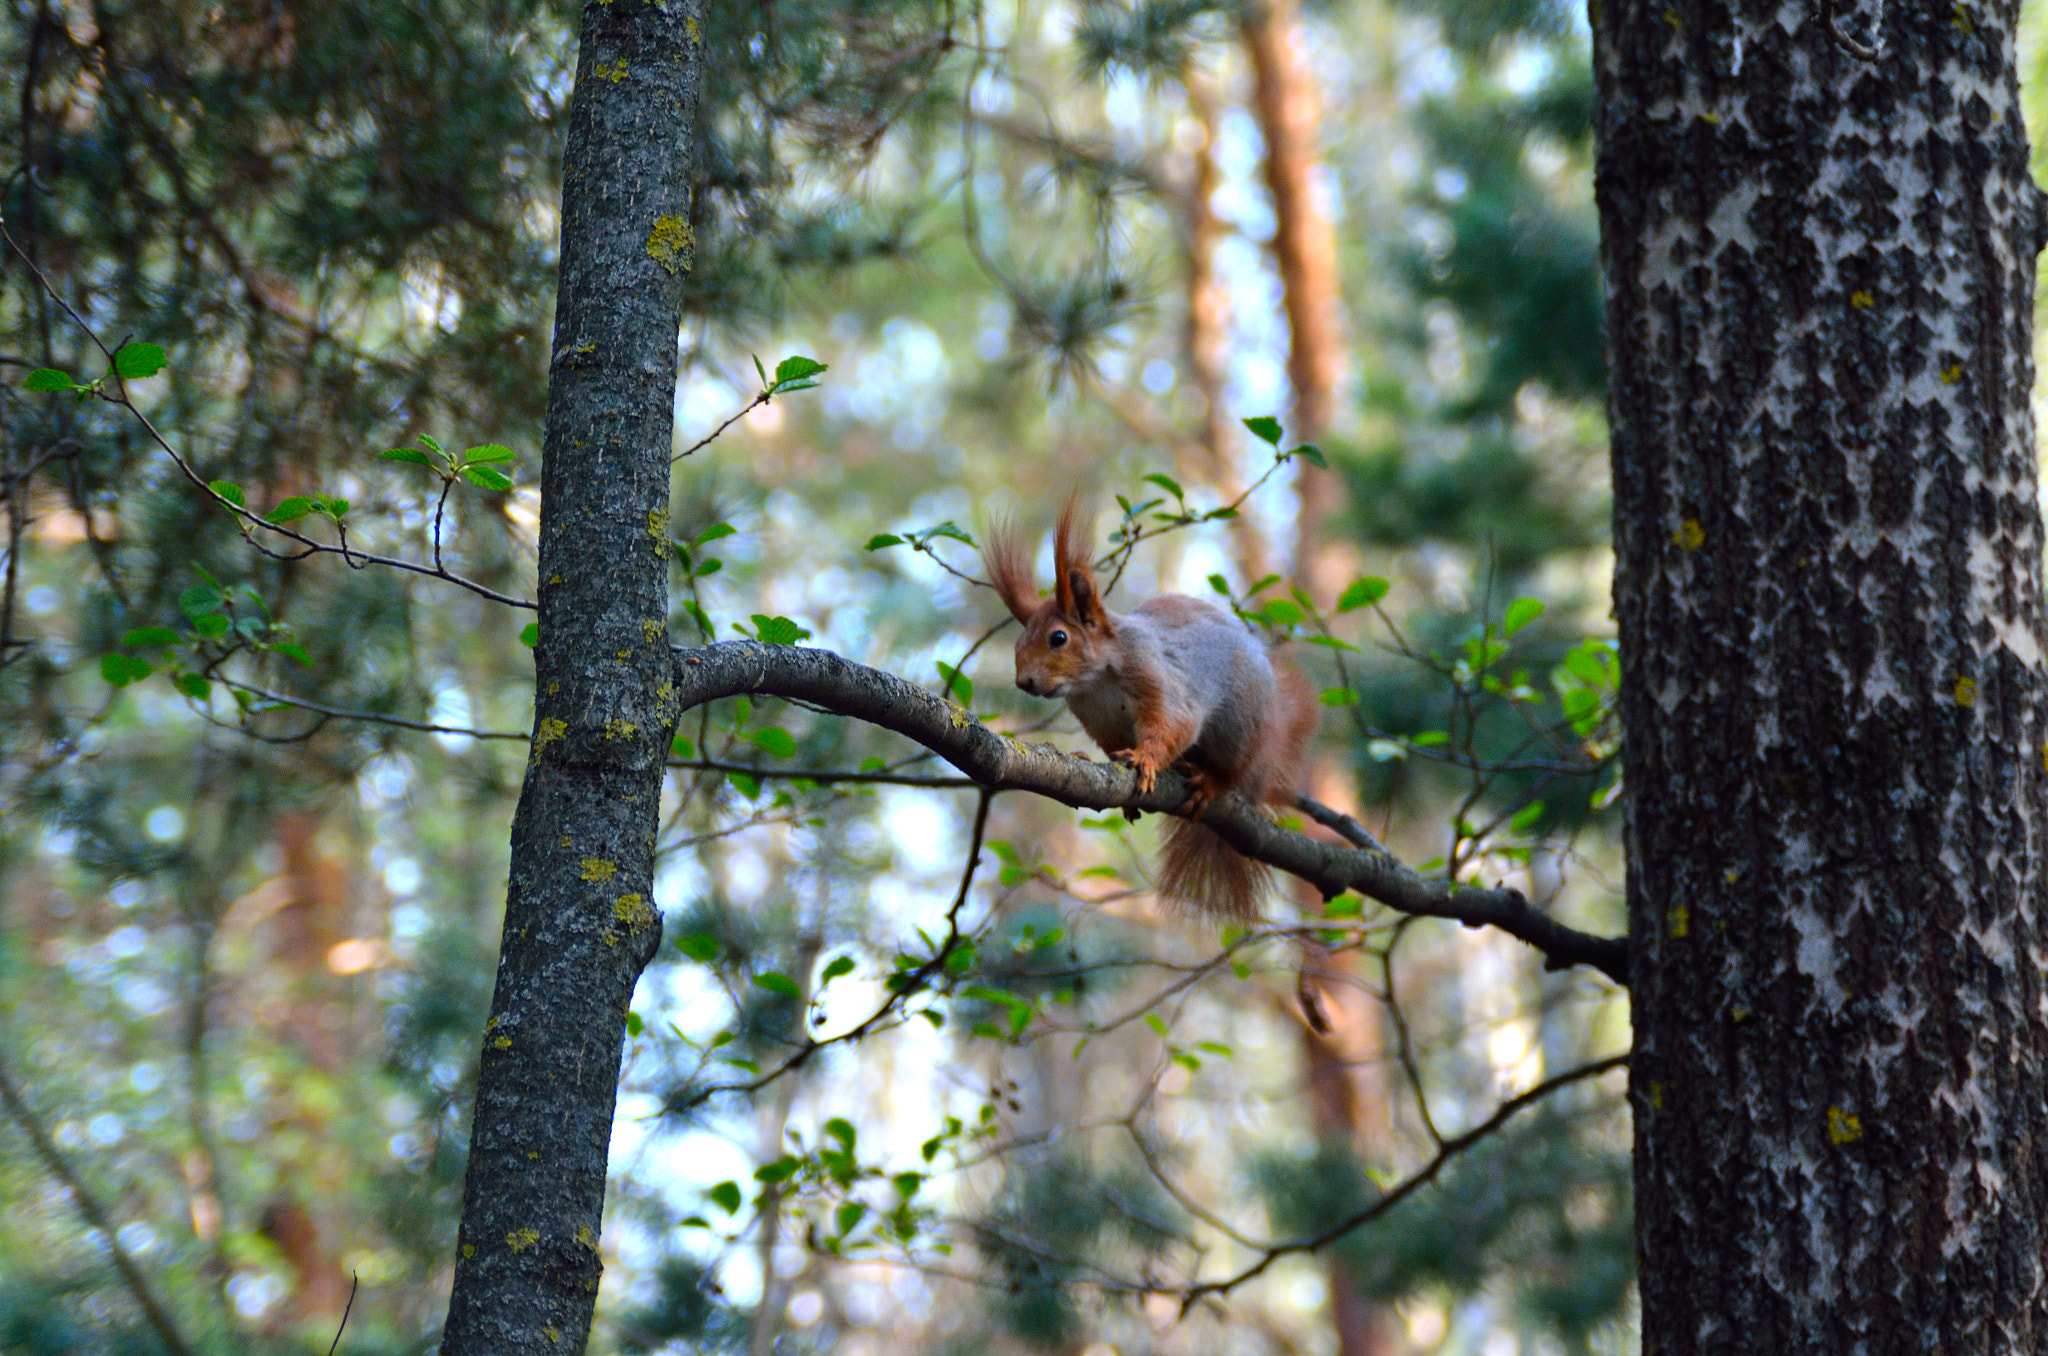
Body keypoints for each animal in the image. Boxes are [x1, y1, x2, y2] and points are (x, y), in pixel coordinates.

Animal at [983, 493, 1318, 917]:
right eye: (1018, 643)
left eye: (1058, 638)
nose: (1023, 682)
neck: (1095, 684)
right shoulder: (1100, 723)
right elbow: (1111, 749)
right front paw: (1091, 761)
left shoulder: (1156, 678)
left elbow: (1173, 724)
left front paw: (1146, 760)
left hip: (1241, 727)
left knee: (1232, 771)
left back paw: (1210, 782)